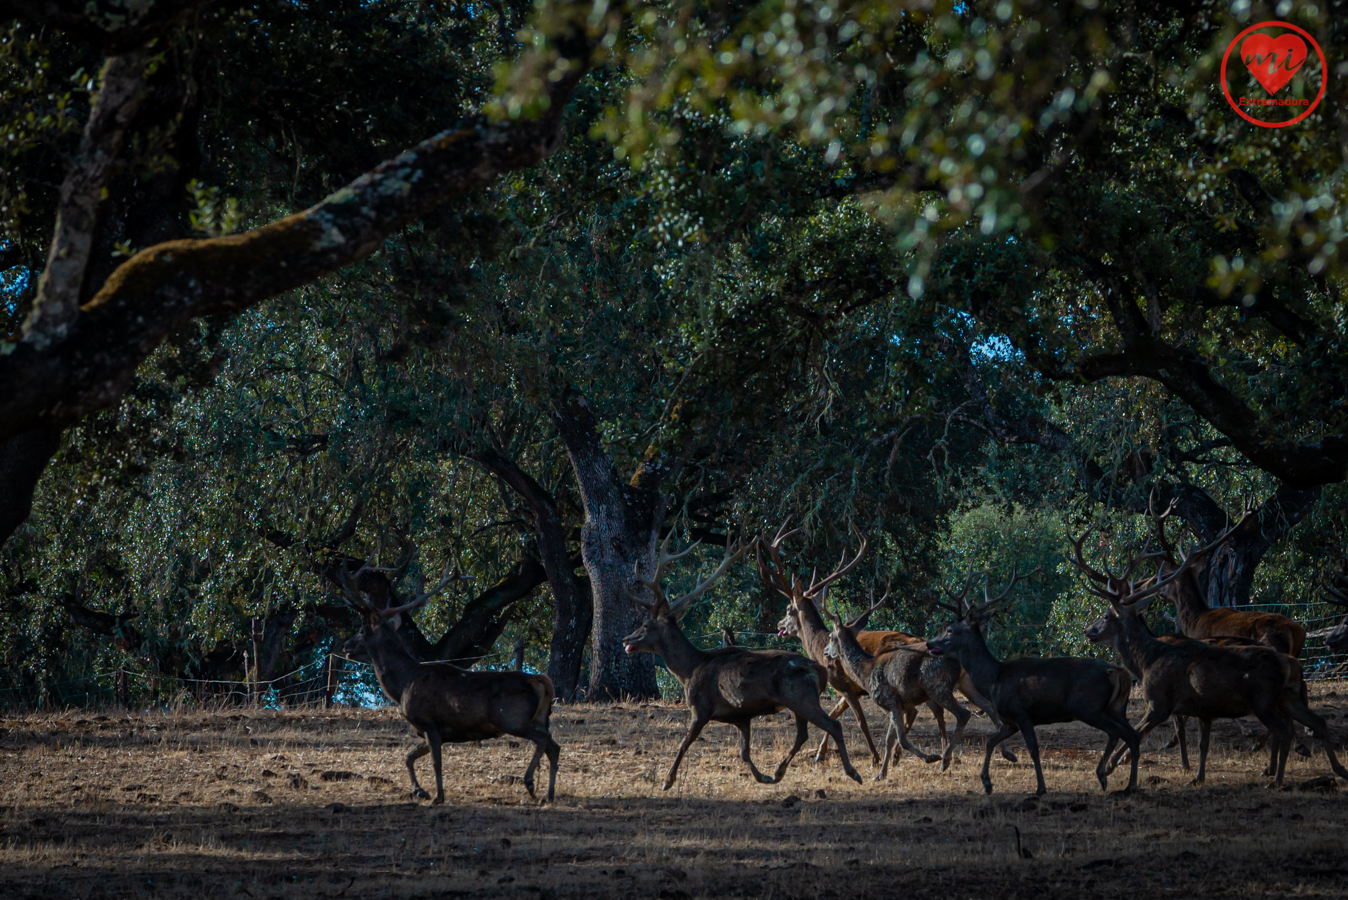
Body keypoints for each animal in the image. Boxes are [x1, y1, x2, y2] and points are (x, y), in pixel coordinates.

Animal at [345, 565, 566, 802]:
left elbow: (436, 763)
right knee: (554, 747)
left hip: (512, 718)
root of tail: (540, 680)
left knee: (544, 739)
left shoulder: (429, 722)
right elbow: (409, 757)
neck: (402, 686)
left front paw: (438, 797)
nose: (346, 645)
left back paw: (530, 783)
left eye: (361, 630)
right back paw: (549, 794)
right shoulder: (433, 731)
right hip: (539, 718)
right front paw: (419, 790)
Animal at [620, 533, 862, 786]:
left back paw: (853, 773)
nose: (626, 638)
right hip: (798, 700)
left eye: (645, 625)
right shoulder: (741, 716)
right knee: (802, 734)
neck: (688, 671)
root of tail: (819, 670)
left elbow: (684, 743)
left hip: (801, 697)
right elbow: (743, 752)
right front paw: (761, 776)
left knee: (833, 725)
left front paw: (668, 780)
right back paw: (778, 771)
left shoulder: (700, 707)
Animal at [927, 568, 1137, 792]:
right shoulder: (1010, 721)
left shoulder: (1022, 712)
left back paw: (1102, 775)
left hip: (1088, 707)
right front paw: (986, 782)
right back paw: (1130, 785)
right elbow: (990, 741)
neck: (993, 679)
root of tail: (1117, 671)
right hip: (1116, 708)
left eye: (949, 629)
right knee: (1132, 734)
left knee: (1115, 732)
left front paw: (1041, 787)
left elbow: (1033, 749)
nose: (930, 643)